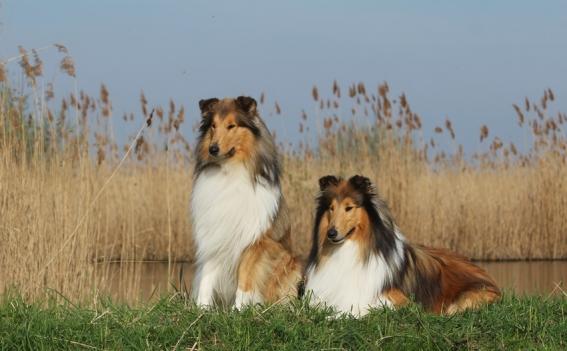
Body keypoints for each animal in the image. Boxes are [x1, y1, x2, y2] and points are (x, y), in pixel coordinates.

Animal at [192, 96, 302, 308]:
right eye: (213, 126)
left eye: (231, 126)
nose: (213, 149)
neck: (229, 172)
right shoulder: (214, 233)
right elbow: (207, 276)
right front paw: (201, 308)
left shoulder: (254, 241)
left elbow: (245, 278)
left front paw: (239, 309)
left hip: (290, 263)